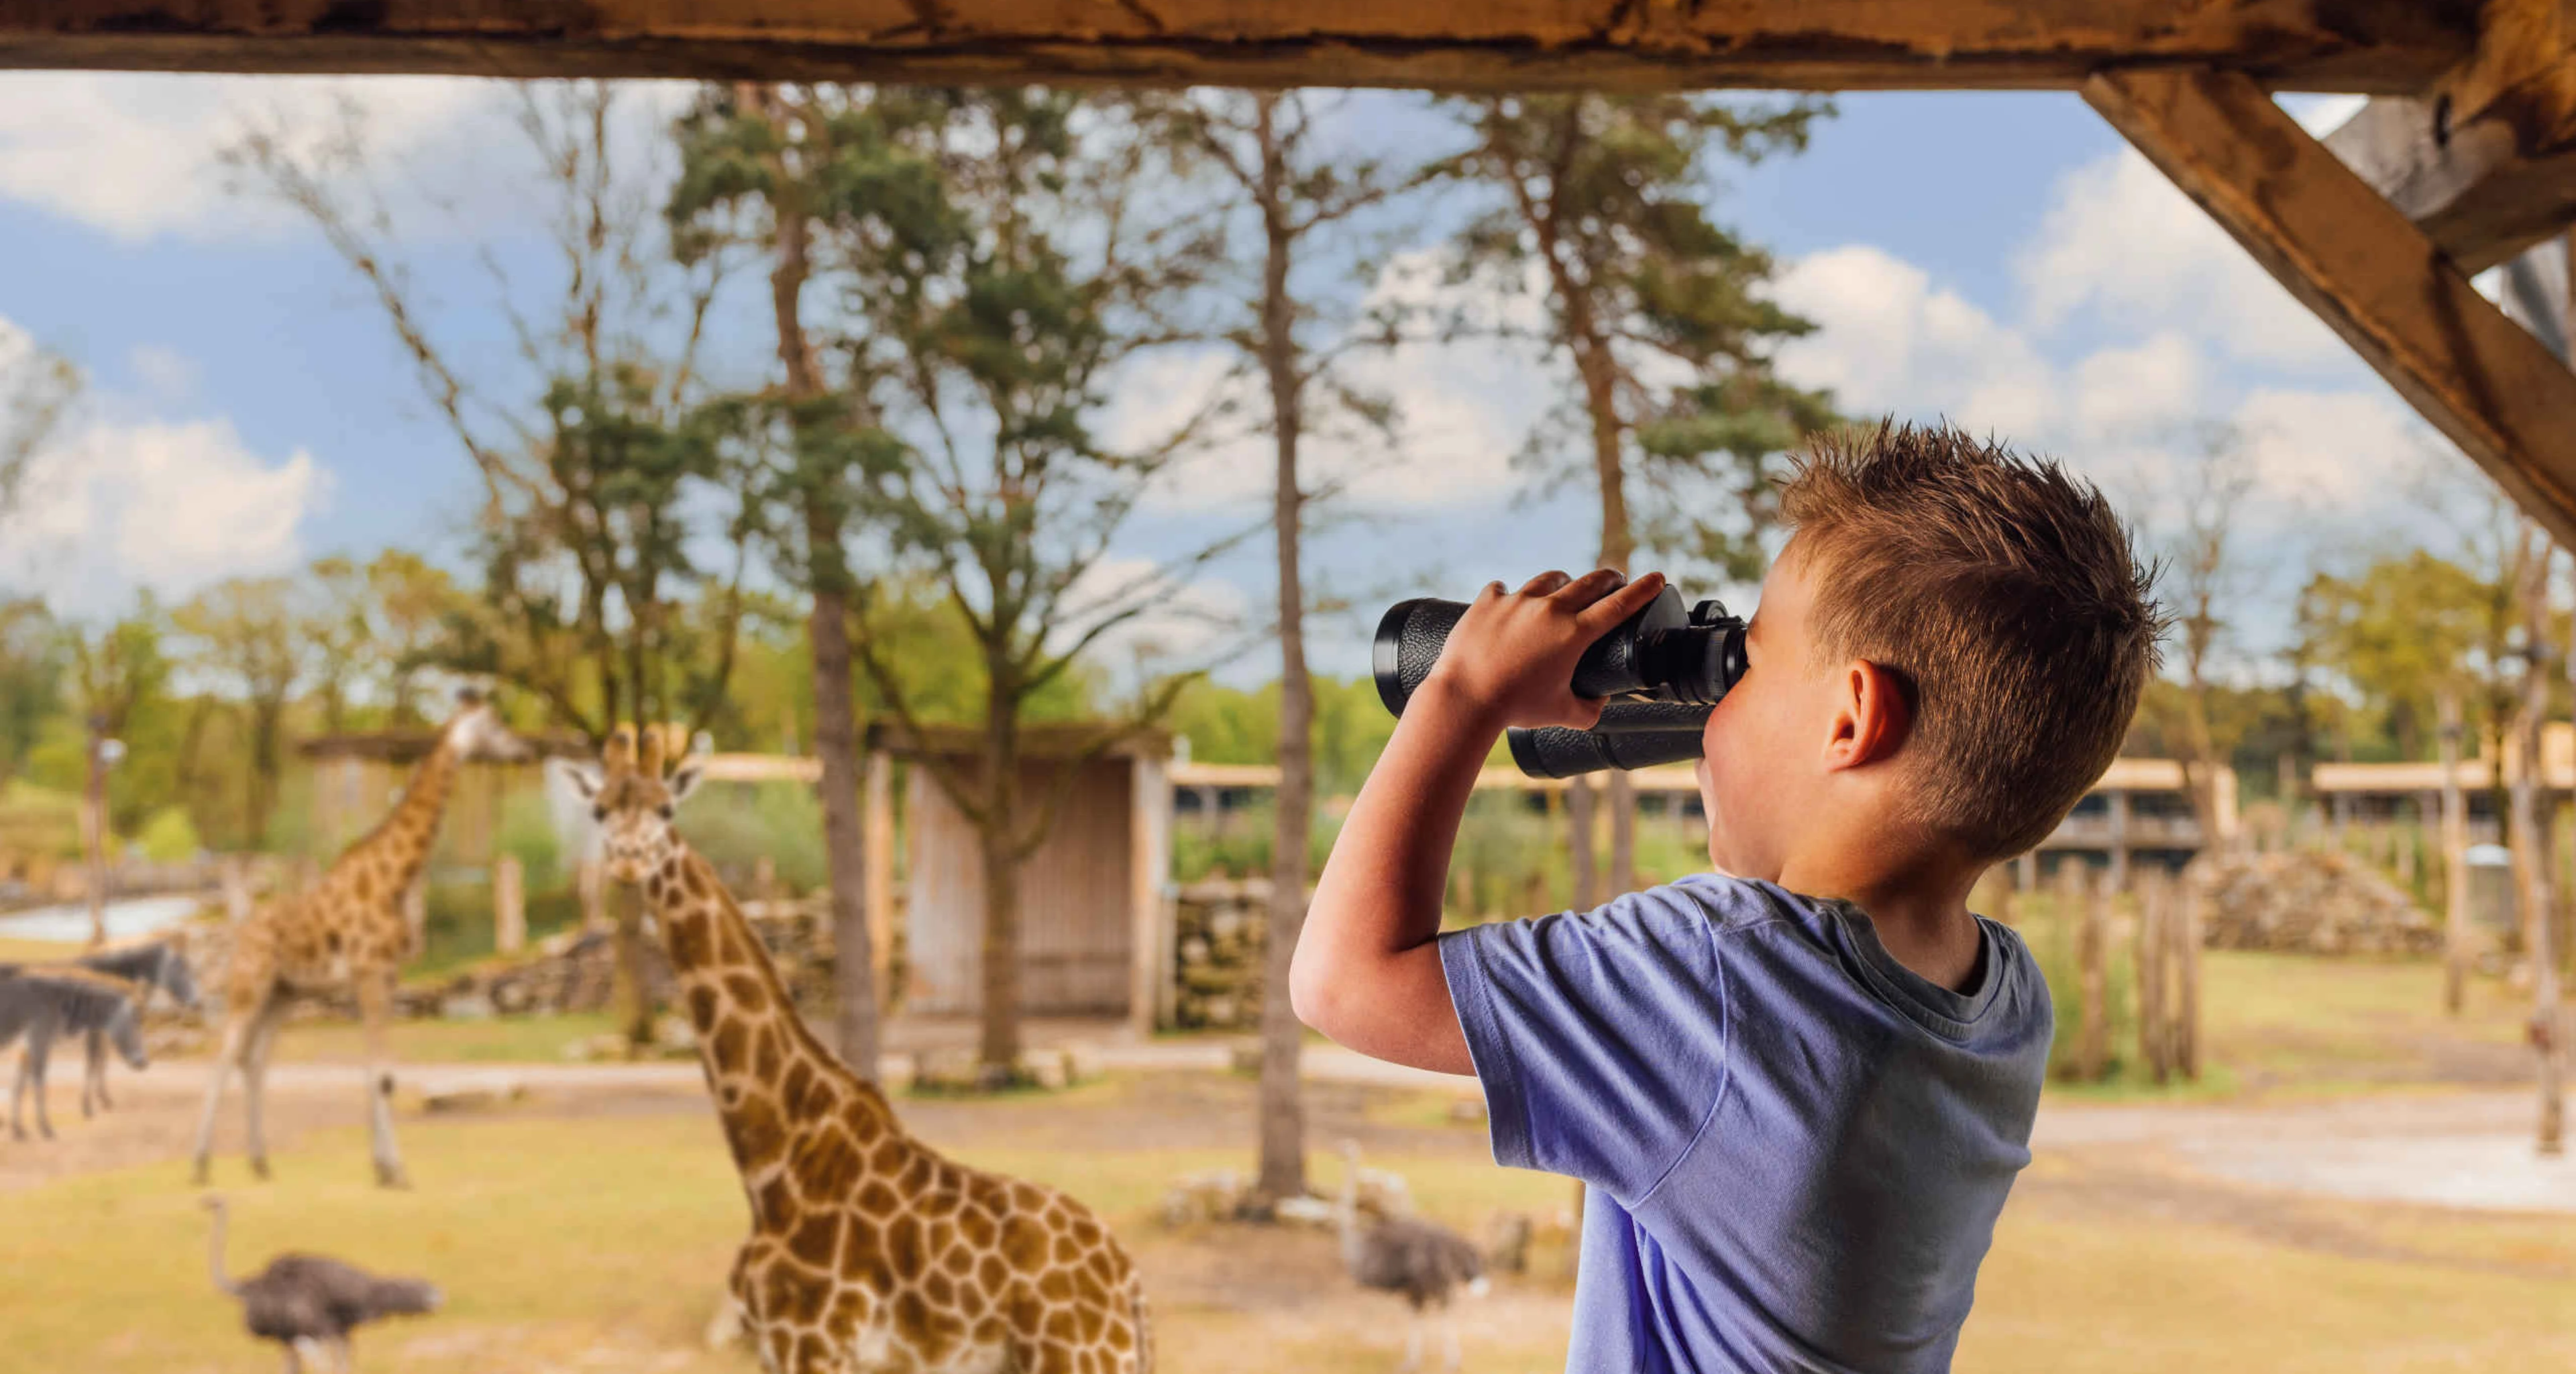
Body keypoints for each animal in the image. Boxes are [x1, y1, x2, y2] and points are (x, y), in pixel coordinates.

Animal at [190, 689, 528, 1188]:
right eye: (496, 724)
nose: (522, 749)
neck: (395, 881)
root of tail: (242, 931)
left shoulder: (387, 976)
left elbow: (377, 1071)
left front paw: (382, 1168)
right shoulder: (370, 973)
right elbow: (381, 1072)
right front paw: (396, 1170)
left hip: (284, 994)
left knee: (255, 1060)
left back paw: (260, 1162)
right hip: (250, 984)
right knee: (225, 1054)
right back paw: (200, 1165)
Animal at [563, 729, 1152, 1374]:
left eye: (667, 808)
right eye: (600, 810)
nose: (626, 859)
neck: (775, 1164)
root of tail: (1130, 1286)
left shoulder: (812, 1344)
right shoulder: (777, 1350)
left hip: (1076, 1359)